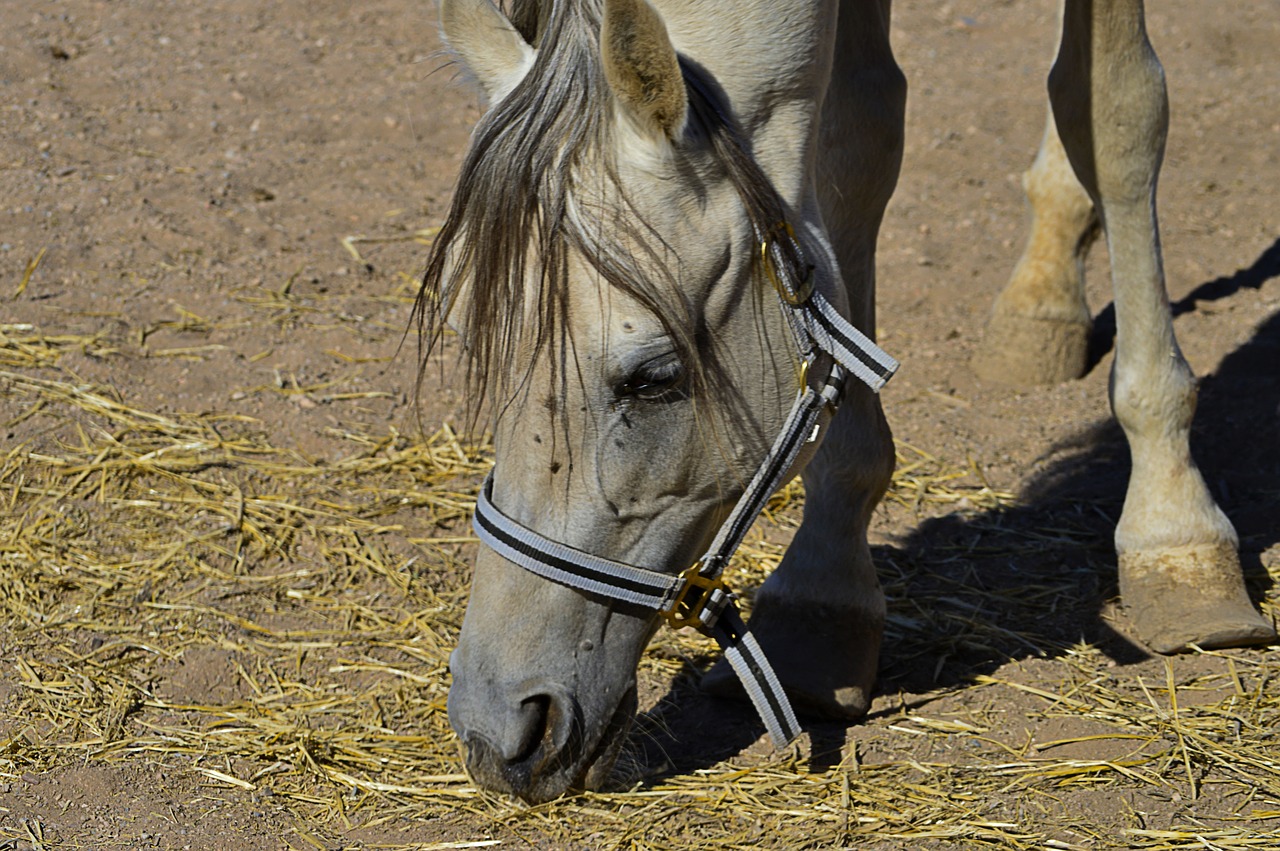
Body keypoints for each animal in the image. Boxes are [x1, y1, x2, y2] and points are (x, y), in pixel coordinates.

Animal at [417, 0, 1269, 803]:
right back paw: (1041, 299)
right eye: (466, 334)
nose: (498, 729)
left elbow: (1117, 108)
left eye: (653, 376)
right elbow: (857, 137)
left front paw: (1174, 531)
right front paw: (822, 602)